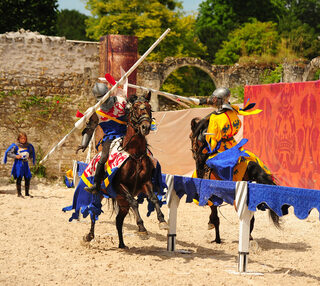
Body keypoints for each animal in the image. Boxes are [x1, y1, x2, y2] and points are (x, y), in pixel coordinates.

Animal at [84, 92, 169, 248]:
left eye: (149, 107)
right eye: (135, 108)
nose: (145, 127)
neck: (134, 153)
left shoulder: (145, 182)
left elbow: (154, 198)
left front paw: (162, 221)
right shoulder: (119, 186)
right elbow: (134, 202)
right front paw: (142, 228)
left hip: (122, 202)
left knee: (118, 220)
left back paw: (122, 244)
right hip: (101, 195)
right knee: (94, 213)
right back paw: (89, 236)